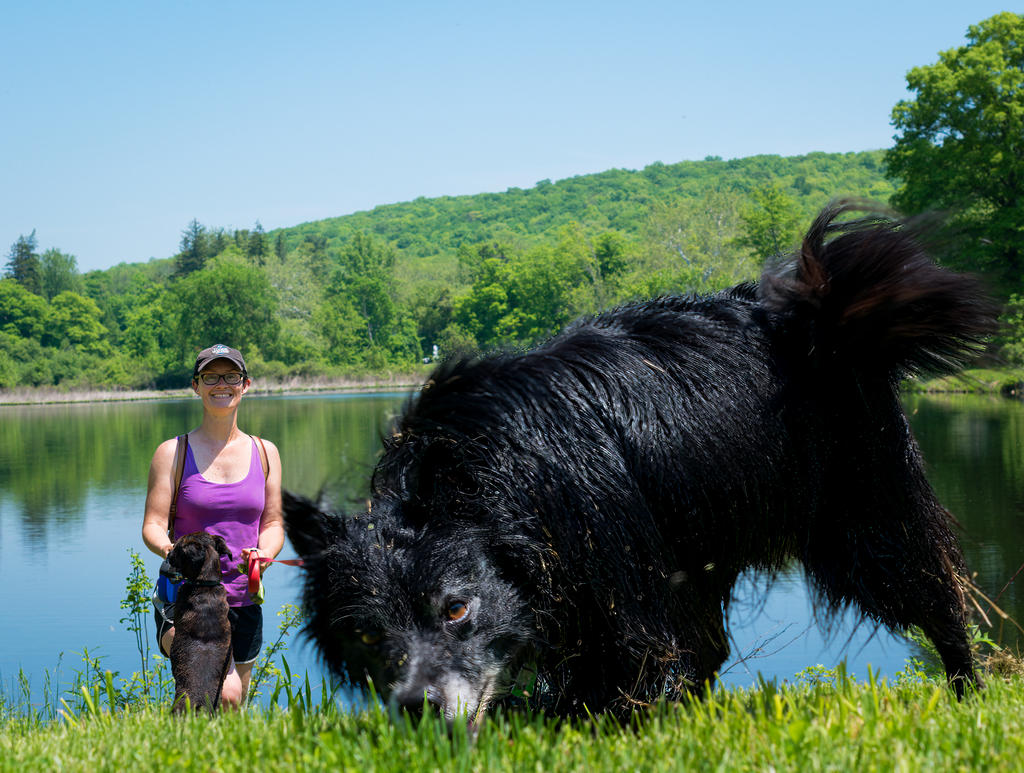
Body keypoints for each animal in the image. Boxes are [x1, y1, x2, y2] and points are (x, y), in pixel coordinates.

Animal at [286, 200, 999, 720]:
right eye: (367, 634)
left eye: (457, 609)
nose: (418, 706)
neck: (500, 479)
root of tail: (819, 315)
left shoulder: (615, 577)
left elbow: (615, 666)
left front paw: (592, 720)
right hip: (702, 543)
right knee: (712, 644)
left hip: (865, 520)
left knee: (940, 602)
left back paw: (968, 694)